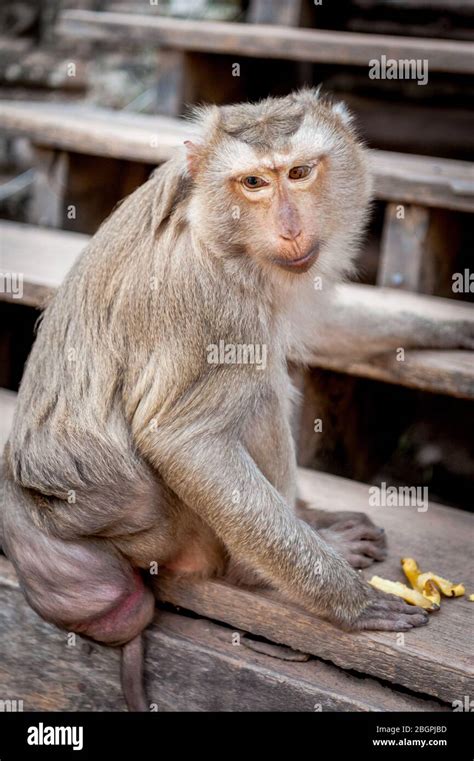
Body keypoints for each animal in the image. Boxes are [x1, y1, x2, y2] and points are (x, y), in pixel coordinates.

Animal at [0, 90, 474, 712]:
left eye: (298, 173)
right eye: (253, 183)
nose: (290, 228)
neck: (225, 238)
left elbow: (320, 322)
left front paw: (455, 331)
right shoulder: (213, 302)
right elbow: (184, 443)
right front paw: (347, 601)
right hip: (169, 537)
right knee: (259, 389)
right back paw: (264, 567)